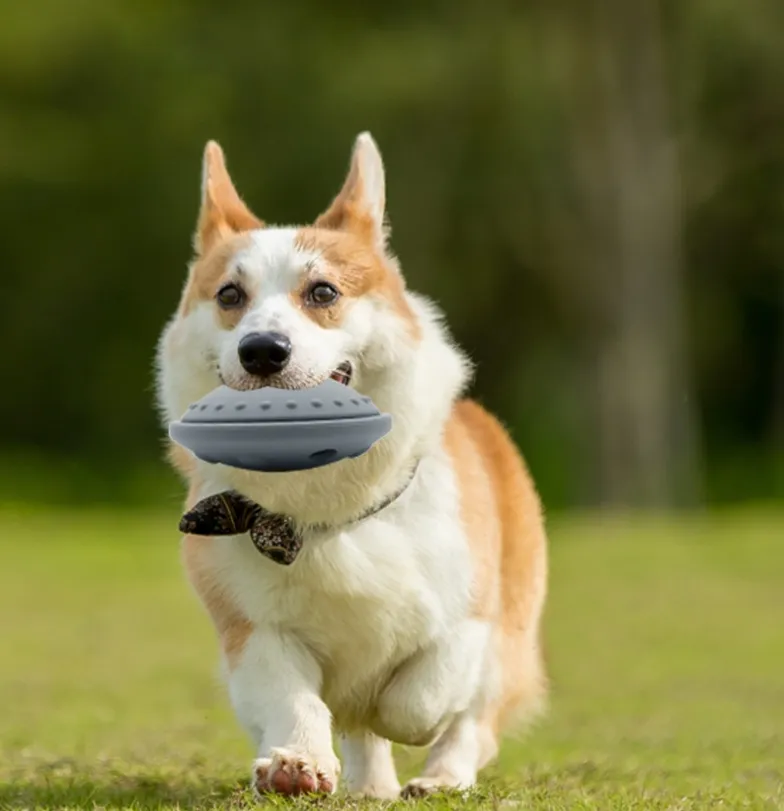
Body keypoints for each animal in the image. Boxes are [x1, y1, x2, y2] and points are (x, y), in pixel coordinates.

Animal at [156, 133, 548, 800]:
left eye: (323, 293)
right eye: (230, 296)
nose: (262, 351)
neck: (326, 503)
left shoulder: (470, 615)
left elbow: (420, 695)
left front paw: (400, 717)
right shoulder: (253, 629)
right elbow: (296, 699)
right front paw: (295, 763)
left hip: (512, 632)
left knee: (472, 722)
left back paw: (440, 779)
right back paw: (371, 786)